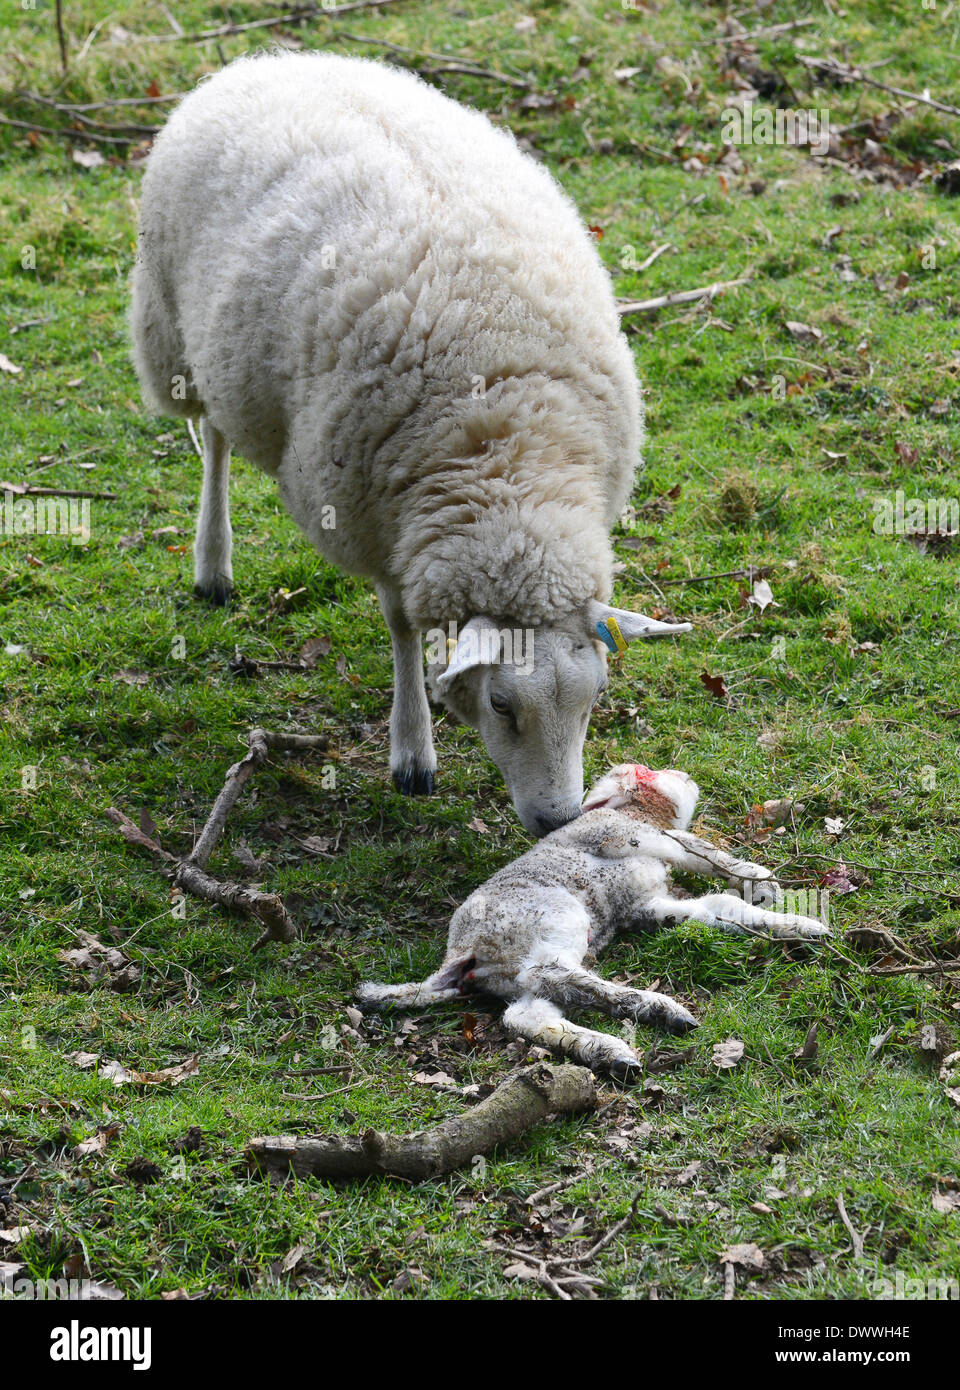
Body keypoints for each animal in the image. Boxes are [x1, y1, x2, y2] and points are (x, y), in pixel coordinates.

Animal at [129, 54, 691, 828]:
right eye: (500, 704)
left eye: (595, 697)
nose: (556, 820)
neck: (510, 465)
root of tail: (273, 59)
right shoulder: (374, 522)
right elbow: (399, 627)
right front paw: (412, 751)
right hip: (175, 332)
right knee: (212, 437)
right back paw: (212, 564)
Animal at [355, 761, 828, 1073]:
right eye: (644, 774)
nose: (685, 775)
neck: (635, 812)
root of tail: (461, 954)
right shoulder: (624, 835)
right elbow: (698, 852)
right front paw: (762, 881)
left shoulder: (646, 903)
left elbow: (717, 909)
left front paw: (803, 928)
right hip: (554, 916)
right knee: (548, 974)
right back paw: (657, 1010)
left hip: (519, 969)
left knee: (526, 1015)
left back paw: (608, 1052)